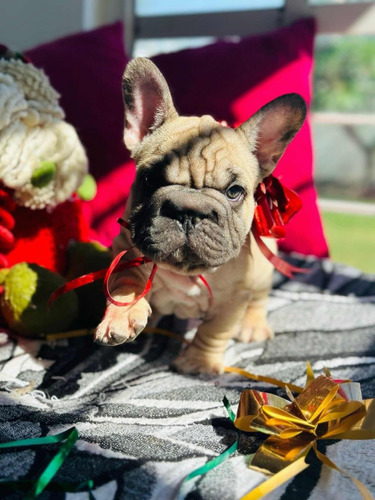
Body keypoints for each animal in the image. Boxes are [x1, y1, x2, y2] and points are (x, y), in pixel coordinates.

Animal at [95, 56, 306, 374]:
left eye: (234, 191)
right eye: (150, 179)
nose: (188, 211)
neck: (188, 272)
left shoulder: (232, 300)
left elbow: (214, 331)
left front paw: (198, 362)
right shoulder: (126, 248)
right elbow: (127, 279)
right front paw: (123, 313)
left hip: (263, 272)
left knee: (258, 300)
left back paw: (253, 326)